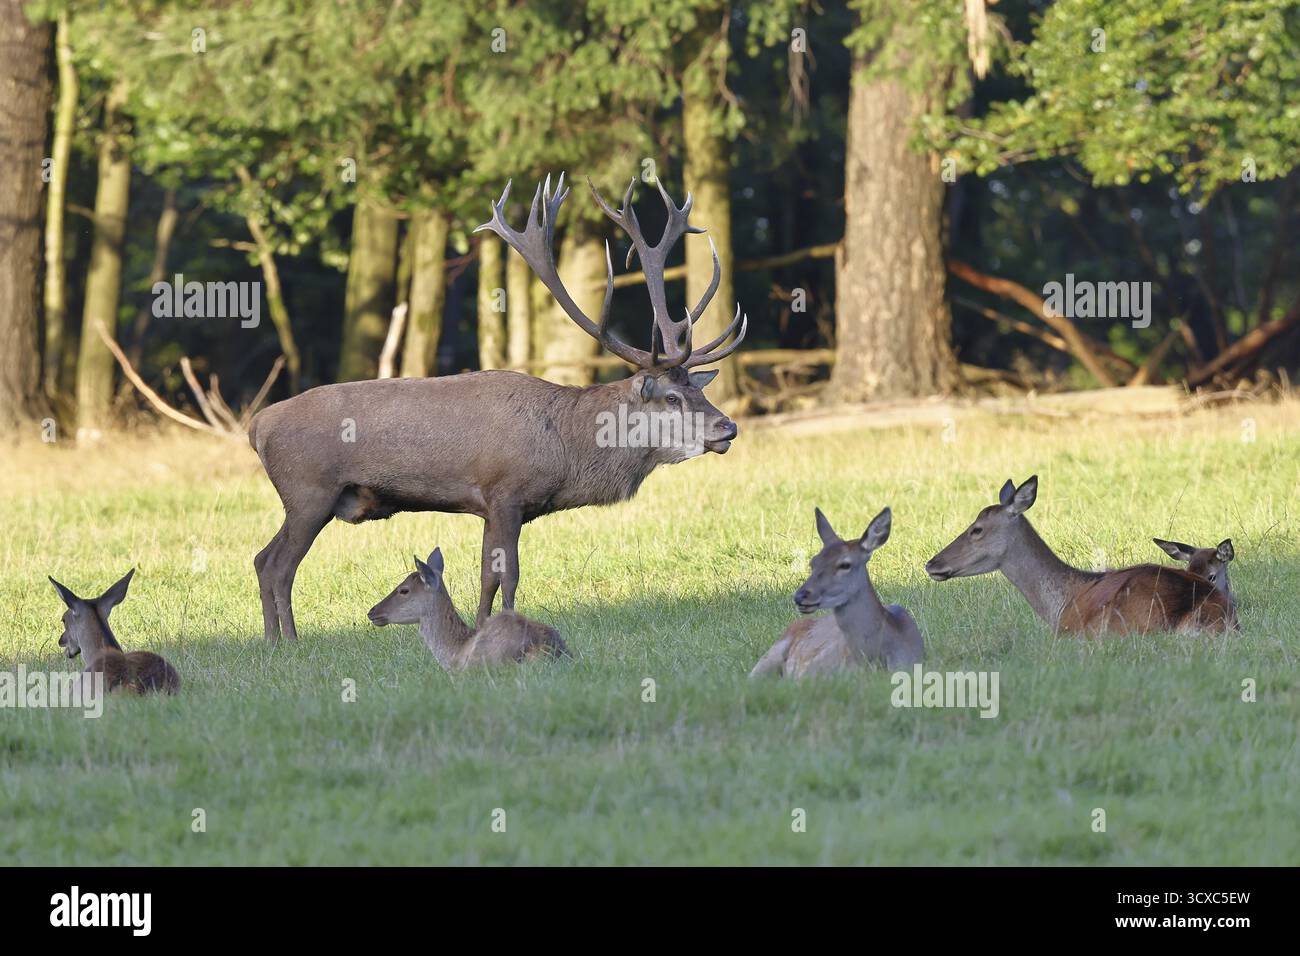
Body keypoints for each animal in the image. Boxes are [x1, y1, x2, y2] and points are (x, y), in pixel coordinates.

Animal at [249, 174, 746, 642]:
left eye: (699, 391)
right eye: (672, 397)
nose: (728, 427)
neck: (565, 447)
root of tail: (257, 425)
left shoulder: (493, 506)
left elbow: (488, 576)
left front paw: (482, 627)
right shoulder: (505, 490)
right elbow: (507, 576)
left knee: (260, 557)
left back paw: (273, 639)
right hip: (309, 490)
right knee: (277, 563)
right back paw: (287, 641)